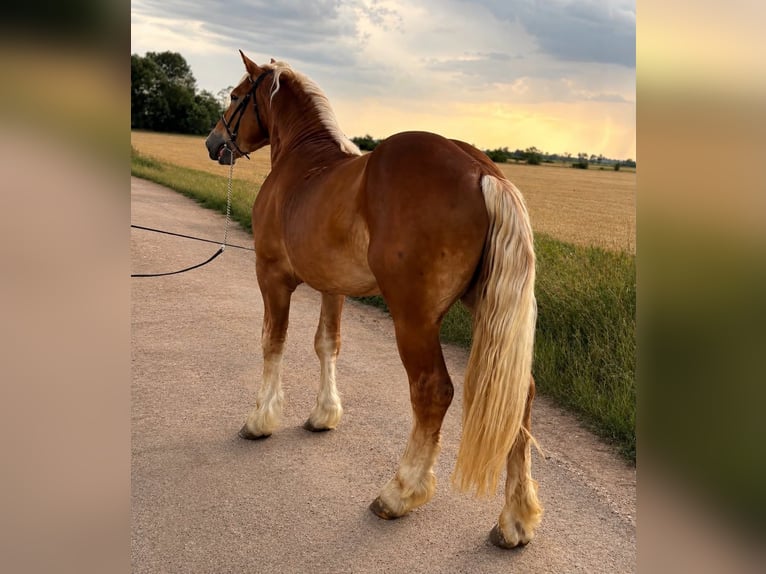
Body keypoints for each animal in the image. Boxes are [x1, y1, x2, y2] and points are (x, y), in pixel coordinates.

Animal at [205, 51, 542, 548]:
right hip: (489, 314)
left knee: (432, 391)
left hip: (413, 320)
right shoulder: (333, 287)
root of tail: (482, 170)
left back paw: (399, 493)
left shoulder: (272, 277)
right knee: (520, 396)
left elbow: (273, 343)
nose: (213, 142)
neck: (302, 164)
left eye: (234, 95)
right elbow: (327, 344)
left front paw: (261, 419)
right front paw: (324, 414)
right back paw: (514, 520)